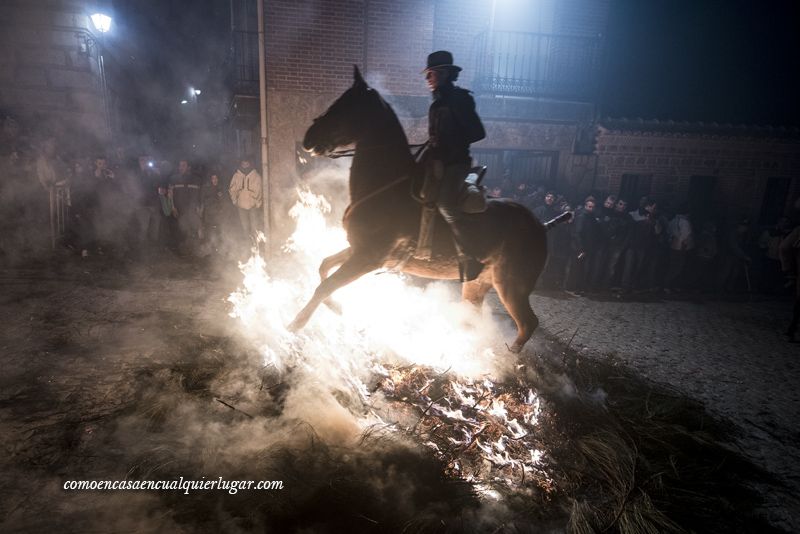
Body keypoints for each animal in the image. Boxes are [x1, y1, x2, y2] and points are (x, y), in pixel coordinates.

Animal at [288, 65, 552, 354]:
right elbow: (324, 268)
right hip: (479, 284)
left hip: (512, 286)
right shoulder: (359, 251)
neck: (386, 187)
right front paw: (335, 307)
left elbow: (326, 285)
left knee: (527, 324)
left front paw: (296, 323)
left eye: (345, 106)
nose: (308, 138)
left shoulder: (368, 258)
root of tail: (540, 224)